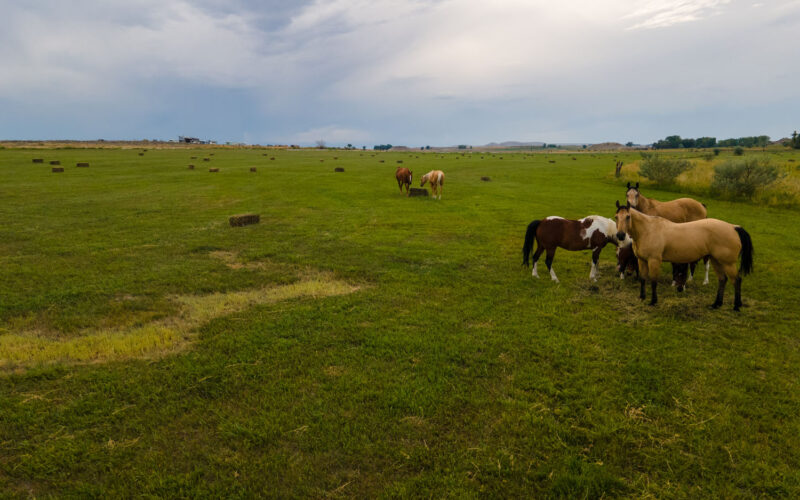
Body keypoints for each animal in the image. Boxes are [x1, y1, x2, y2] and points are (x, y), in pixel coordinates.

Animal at [616, 201, 752, 310]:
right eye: (616, 217)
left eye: (628, 216)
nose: (620, 235)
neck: (648, 230)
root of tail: (733, 227)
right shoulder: (642, 260)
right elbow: (643, 279)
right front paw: (642, 297)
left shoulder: (654, 261)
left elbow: (653, 281)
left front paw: (653, 301)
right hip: (716, 261)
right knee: (722, 280)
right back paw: (716, 304)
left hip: (728, 263)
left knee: (736, 280)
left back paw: (736, 306)